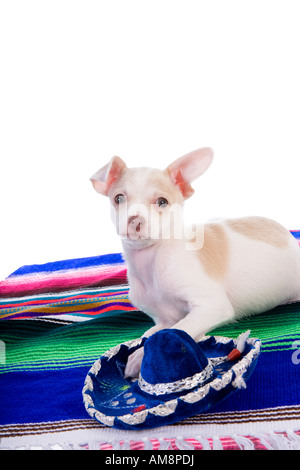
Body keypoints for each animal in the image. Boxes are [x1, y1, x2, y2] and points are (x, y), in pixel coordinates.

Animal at [91, 149, 300, 376]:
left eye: (162, 202)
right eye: (118, 198)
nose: (135, 220)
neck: (151, 262)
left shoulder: (211, 306)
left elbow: (180, 327)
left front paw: (141, 357)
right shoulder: (163, 319)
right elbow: (152, 332)